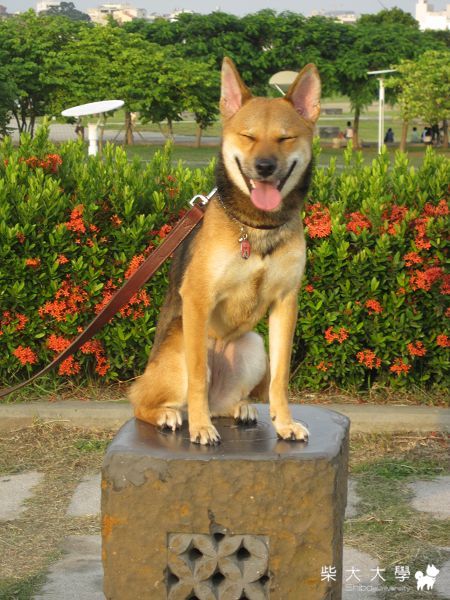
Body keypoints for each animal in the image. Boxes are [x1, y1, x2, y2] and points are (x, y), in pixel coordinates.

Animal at [129, 57, 321, 445]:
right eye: (248, 136)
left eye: (285, 138)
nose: (264, 167)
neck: (256, 226)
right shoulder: (198, 299)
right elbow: (198, 379)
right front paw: (201, 428)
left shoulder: (286, 303)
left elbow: (280, 378)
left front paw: (284, 423)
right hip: (178, 351)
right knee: (147, 400)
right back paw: (171, 415)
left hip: (254, 346)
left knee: (225, 400)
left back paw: (240, 408)